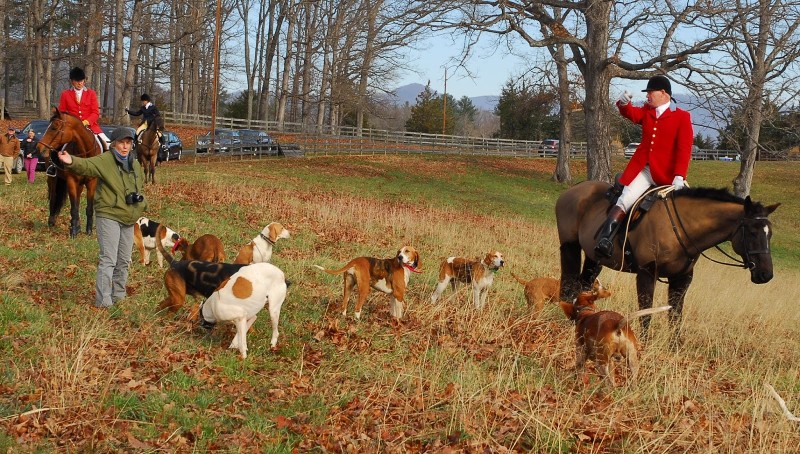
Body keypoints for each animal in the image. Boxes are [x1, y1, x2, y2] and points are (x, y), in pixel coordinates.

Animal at [37, 108, 102, 239]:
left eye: (54, 127)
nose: (39, 147)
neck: (84, 155)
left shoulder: (91, 182)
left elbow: (89, 207)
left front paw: (88, 231)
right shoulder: (71, 181)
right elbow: (74, 208)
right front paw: (73, 232)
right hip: (53, 179)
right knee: (53, 197)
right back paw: (52, 221)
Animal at [556, 182, 776, 336]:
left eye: (770, 234)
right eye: (753, 232)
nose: (766, 274)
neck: (679, 229)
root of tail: (574, 189)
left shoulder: (682, 279)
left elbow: (675, 316)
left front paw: (674, 348)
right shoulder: (646, 273)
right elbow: (645, 312)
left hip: (594, 259)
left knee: (584, 284)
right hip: (570, 247)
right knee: (568, 284)